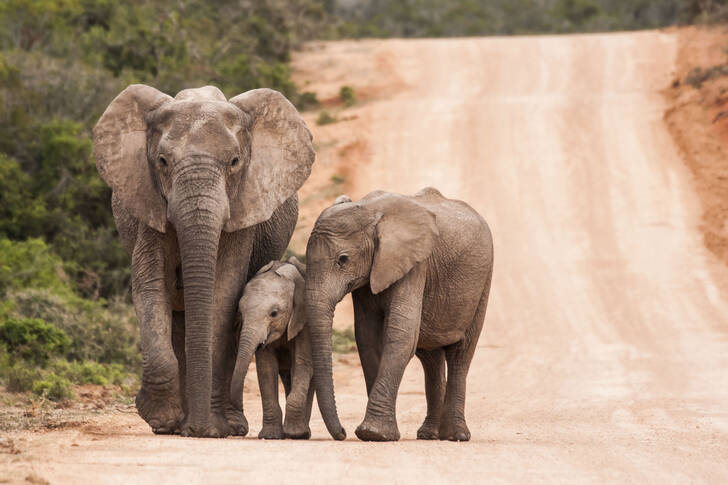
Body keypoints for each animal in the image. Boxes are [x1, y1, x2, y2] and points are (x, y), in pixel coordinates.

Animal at [230, 256, 314, 440]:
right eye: (241, 312)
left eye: (274, 313)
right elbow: (266, 368)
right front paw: (270, 436)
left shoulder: (305, 322)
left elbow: (302, 363)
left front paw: (296, 434)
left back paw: (303, 432)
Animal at [305, 188, 493, 442]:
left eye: (342, 260)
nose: (342, 433)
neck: (370, 211)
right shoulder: (370, 275)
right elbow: (367, 337)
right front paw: (375, 433)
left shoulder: (415, 265)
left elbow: (400, 335)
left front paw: (373, 434)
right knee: (431, 358)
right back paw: (428, 434)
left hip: (483, 282)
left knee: (461, 354)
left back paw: (456, 436)